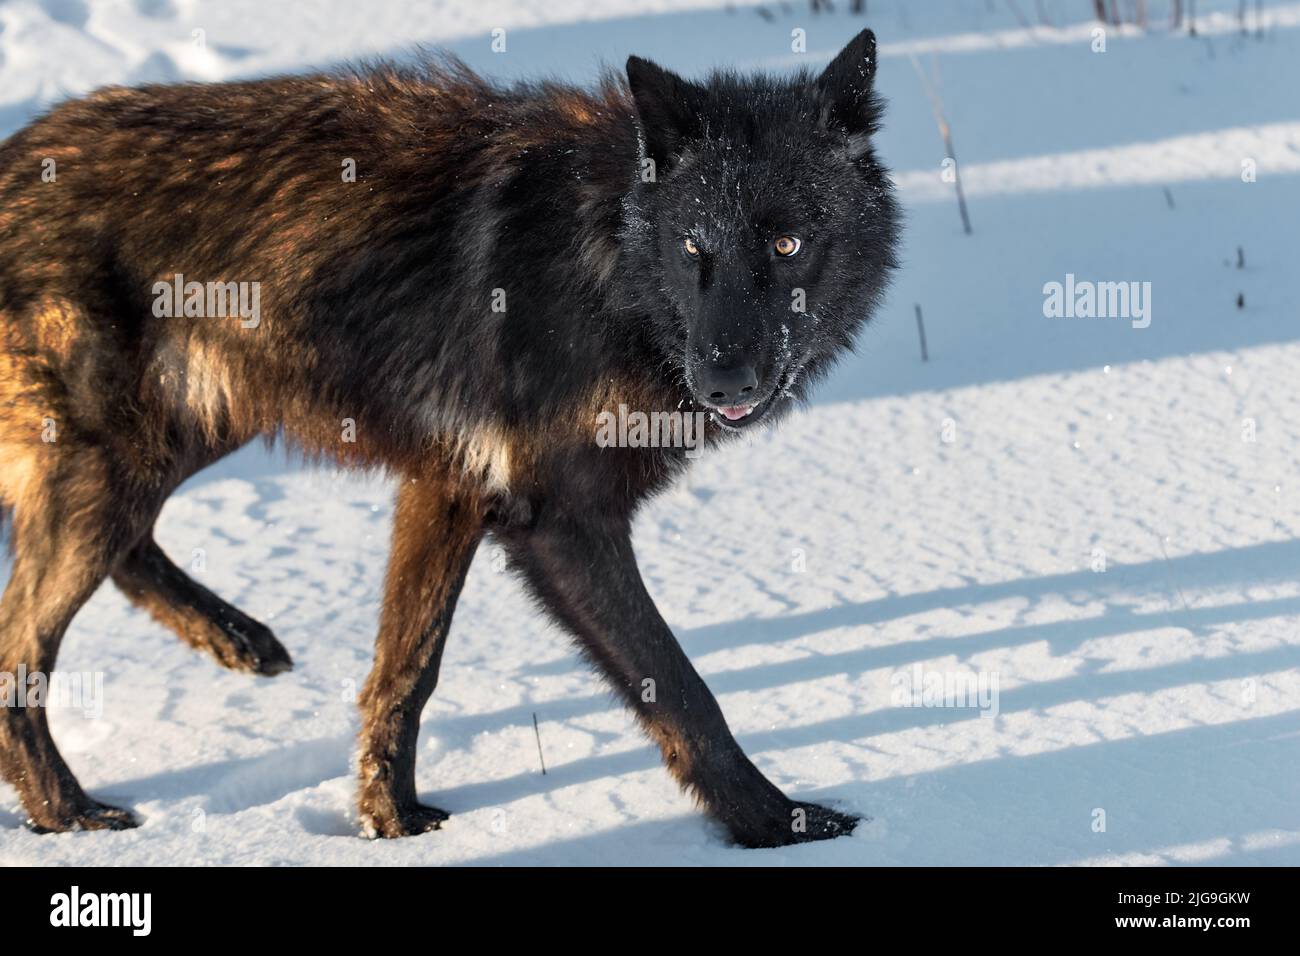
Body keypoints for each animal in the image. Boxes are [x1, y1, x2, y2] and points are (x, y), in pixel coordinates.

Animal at [0, 27, 894, 842]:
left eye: (787, 243)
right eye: (692, 247)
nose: (723, 383)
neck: (609, 267)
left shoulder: (449, 489)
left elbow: (407, 671)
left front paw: (387, 819)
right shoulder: (559, 523)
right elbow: (679, 687)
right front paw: (775, 824)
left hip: (188, 431)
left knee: (117, 559)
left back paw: (238, 642)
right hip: (127, 453)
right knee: (20, 644)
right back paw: (67, 813)